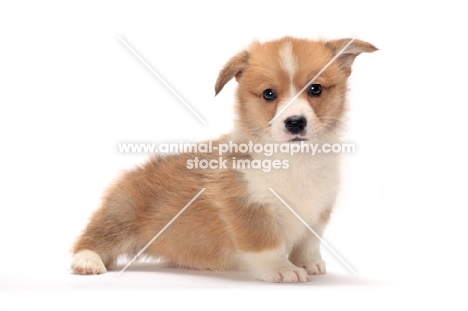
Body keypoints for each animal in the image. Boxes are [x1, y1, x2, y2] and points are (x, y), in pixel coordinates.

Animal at [70, 36, 376, 282]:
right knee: (94, 237)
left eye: (316, 89)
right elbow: (268, 245)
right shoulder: (247, 208)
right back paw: (87, 261)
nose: (295, 123)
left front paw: (310, 263)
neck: (293, 159)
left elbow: (309, 242)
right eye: (269, 94)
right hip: (122, 214)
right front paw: (283, 270)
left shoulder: (318, 210)